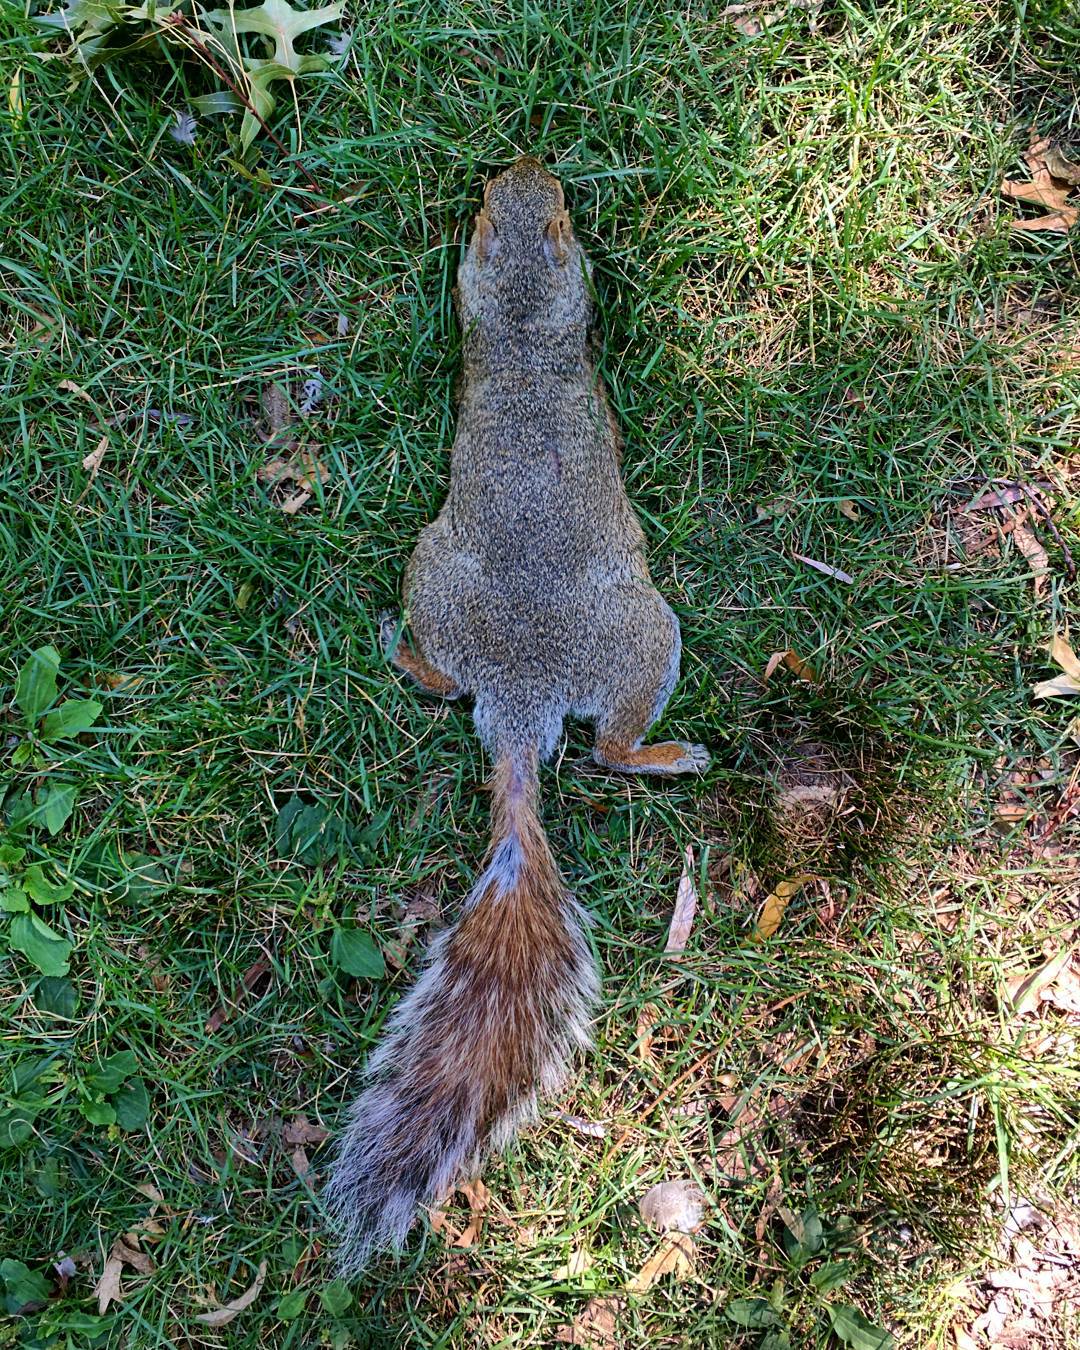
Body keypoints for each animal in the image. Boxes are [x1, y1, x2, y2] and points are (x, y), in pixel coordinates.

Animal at [325, 156, 708, 1276]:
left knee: (448, 686)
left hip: (448, 591)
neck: (531, 334)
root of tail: (523, 692)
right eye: (507, 209)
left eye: (543, 208)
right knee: (609, 750)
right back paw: (667, 753)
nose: (525, 167)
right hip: (641, 632)